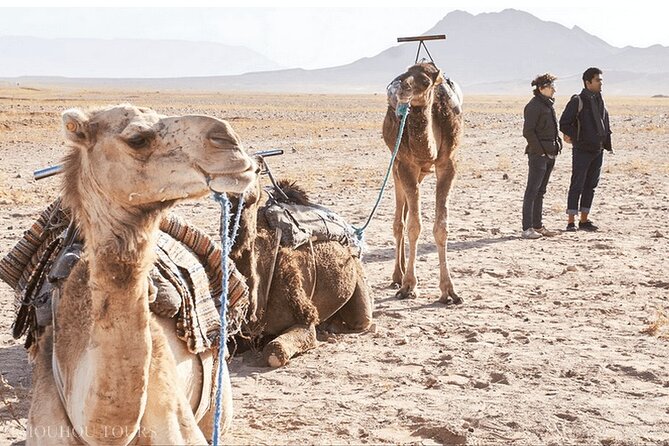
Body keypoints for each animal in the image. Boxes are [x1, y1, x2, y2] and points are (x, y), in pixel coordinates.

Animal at [382, 62, 464, 304]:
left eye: (426, 81)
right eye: (406, 72)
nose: (398, 86)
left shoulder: (448, 163)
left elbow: (441, 227)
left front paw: (449, 291)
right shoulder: (406, 165)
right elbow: (413, 226)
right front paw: (409, 285)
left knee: (406, 213)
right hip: (396, 165)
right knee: (400, 220)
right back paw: (397, 276)